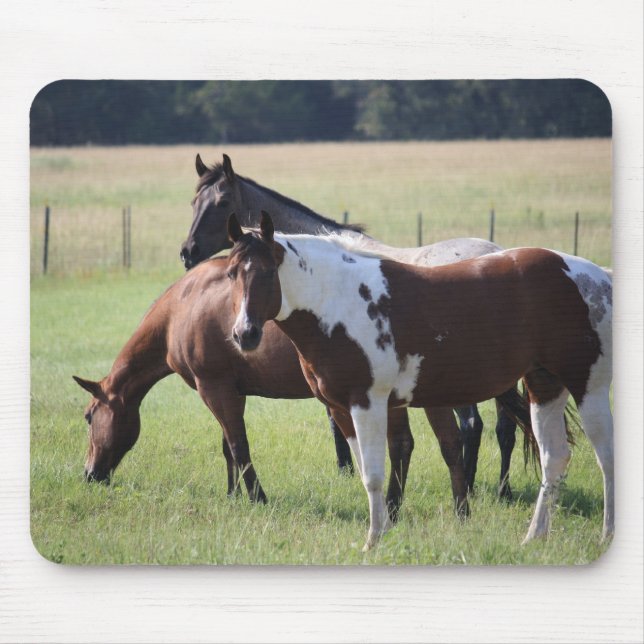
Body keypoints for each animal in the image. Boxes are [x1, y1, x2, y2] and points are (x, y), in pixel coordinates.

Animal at [73, 256, 423, 516]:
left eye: (89, 417)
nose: (89, 474)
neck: (183, 306)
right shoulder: (230, 390)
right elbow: (228, 447)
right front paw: (233, 495)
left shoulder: (214, 387)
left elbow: (239, 446)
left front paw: (257, 497)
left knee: (399, 443)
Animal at [180, 153, 518, 498]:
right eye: (194, 201)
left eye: (222, 202)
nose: (188, 252)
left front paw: (346, 469)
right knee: (505, 427)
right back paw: (502, 488)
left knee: (473, 425)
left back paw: (472, 486)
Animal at [226, 211, 613, 551]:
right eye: (231, 273)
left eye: (267, 272)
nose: (245, 334)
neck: (340, 301)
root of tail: (600, 276)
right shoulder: (340, 409)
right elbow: (366, 471)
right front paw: (381, 533)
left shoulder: (368, 403)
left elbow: (375, 475)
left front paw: (373, 541)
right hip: (544, 387)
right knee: (554, 458)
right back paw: (534, 536)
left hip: (589, 387)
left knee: (605, 456)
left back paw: (606, 535)